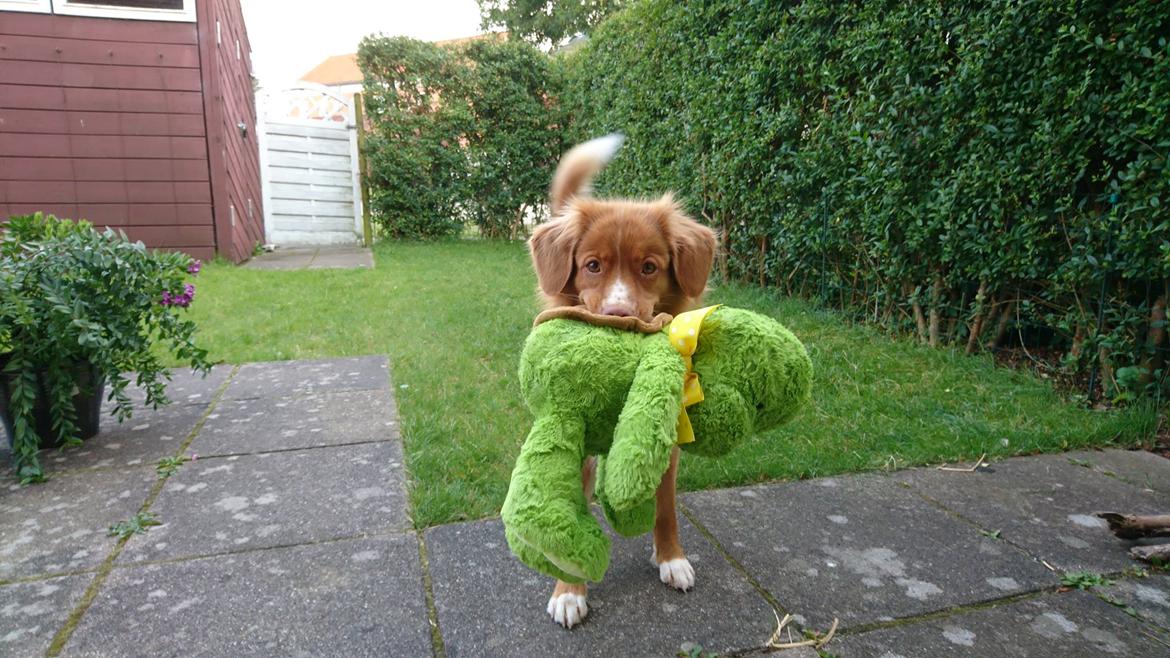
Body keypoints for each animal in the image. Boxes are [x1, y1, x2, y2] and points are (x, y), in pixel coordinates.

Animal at [526, 133, 716, 622]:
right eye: (593, 265)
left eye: (649, 267)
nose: (617, 315)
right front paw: (569, 591)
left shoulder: (665, 437)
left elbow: (666, 508)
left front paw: (671, 558)